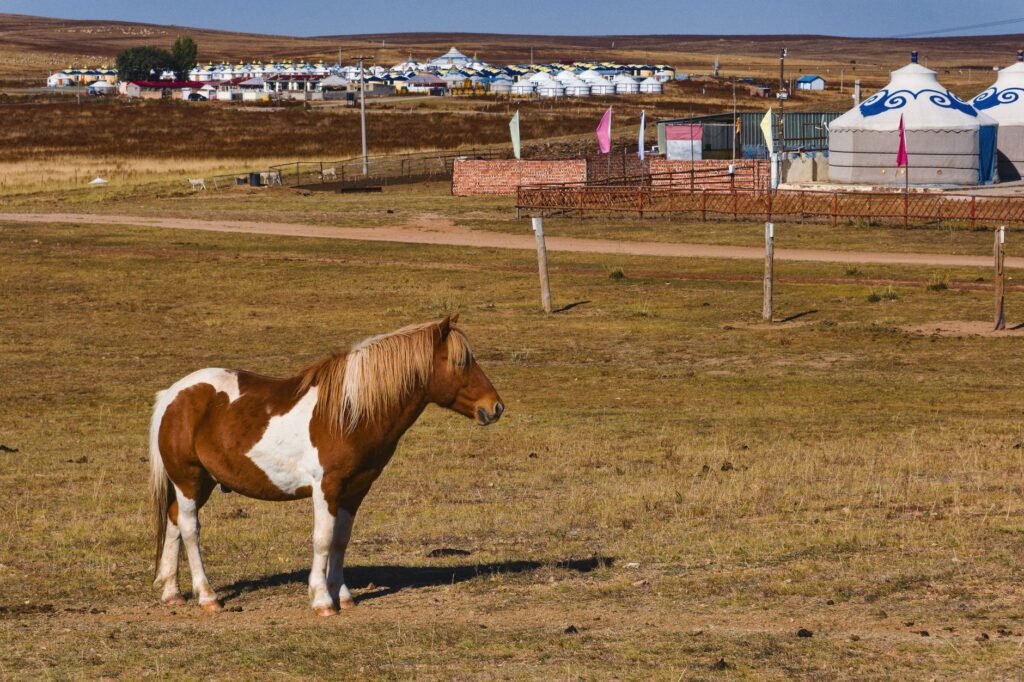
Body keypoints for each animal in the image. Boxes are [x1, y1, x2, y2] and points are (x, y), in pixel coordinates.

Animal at [148, 315, 504, 615]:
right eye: (460, 362)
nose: (495, 407)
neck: (348, 413)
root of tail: (173, 395)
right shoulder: (327, 488)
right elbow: (323, 538)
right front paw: (321, 600)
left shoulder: (355, 489)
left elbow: (340, 539)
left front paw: (342, 595)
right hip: (189, 480)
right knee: (190, 529)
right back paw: (207, 596)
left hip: (201, 482)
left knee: (175, 521)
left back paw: (171, 592)